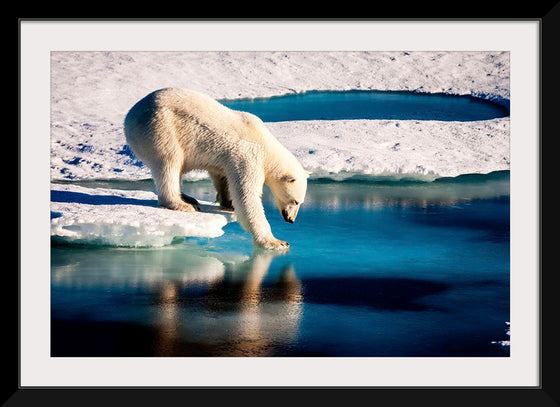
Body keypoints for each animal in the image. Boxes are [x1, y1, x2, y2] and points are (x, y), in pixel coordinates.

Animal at [124, 87, 308, 250]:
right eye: (295, 201)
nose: (290, 219)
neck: (266, 146)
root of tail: (129, 117)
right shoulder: (248, 156)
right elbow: (247, 197)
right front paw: (276, 242)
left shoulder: (227, 159)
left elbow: (222, 176)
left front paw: (228, 203)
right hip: (160, 127)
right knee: (169, 163)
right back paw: (182, 204)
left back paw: (188, 198)